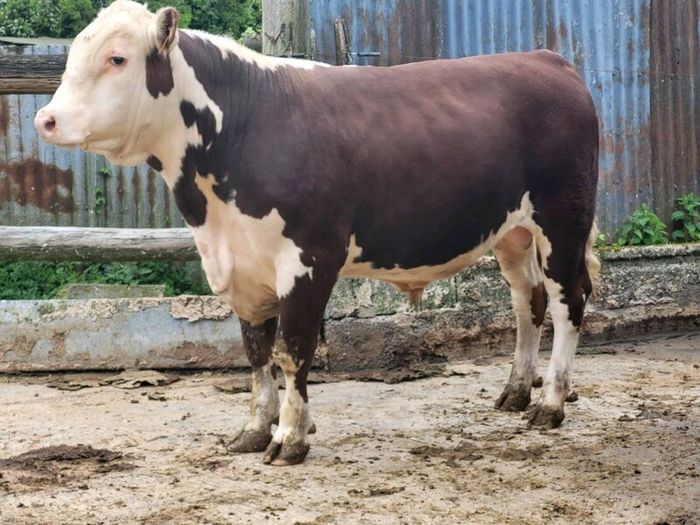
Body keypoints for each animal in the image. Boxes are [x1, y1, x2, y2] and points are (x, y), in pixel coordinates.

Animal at [35, 1, 600, 466]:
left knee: (566, 301)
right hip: (513, 233)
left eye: (117, 59)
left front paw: (290, 437)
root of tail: (547, 59)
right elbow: (256, 352)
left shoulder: (309, 257)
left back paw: (550, 402)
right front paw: (254, 430)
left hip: (563, 220)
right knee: (527, 302)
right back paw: (516, 391)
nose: (47, 119)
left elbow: (293, 349)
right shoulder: (243, 266)